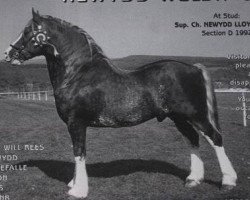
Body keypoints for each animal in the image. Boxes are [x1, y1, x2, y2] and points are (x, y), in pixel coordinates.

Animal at [4, 9, 237, 198]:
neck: (78, 73)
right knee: (193, 140)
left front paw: (78, 190)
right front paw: (73, 184)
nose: (8, 54)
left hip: (196, 115)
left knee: (215, 139)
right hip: (178, 117)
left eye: (27, 31)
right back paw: (193, 179)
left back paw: (228, 182)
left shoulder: (76, 123)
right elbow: (77, 152)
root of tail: (194, 67)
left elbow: (79, 152)